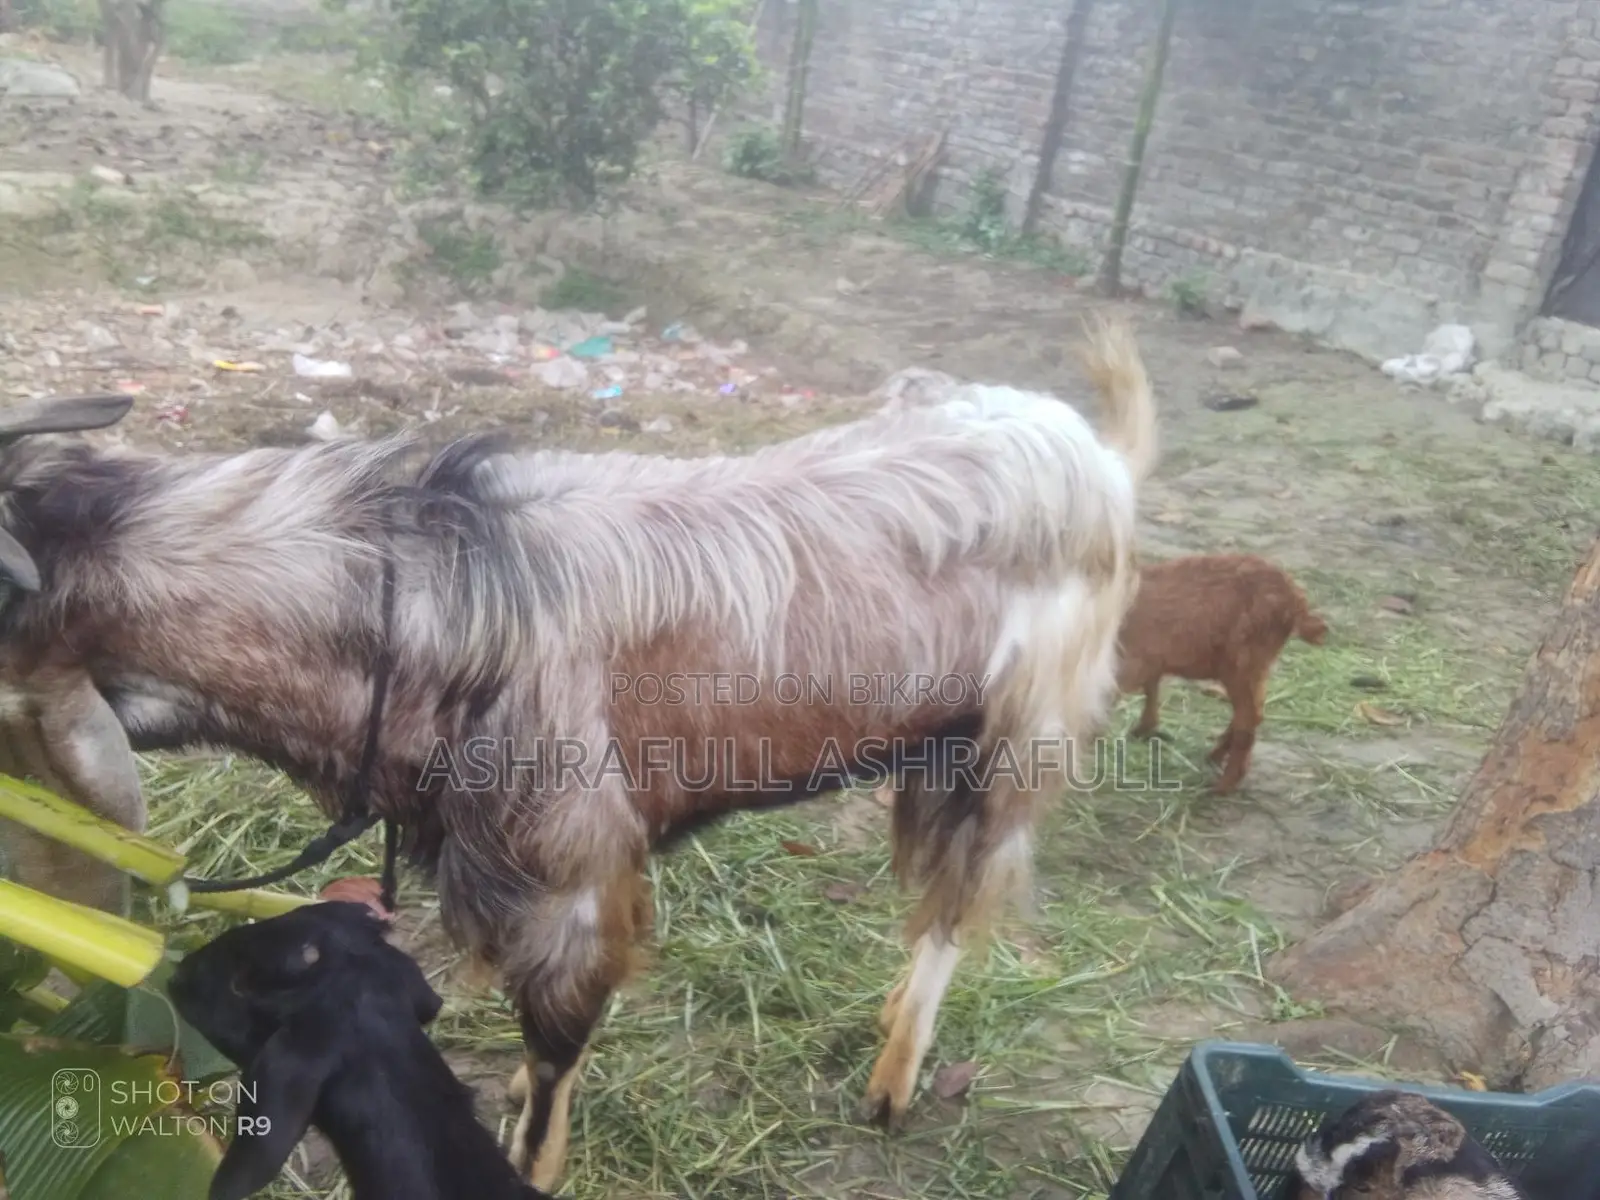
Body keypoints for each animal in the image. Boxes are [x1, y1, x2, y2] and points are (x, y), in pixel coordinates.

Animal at [1114, 552, 1326, 793]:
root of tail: (1296, 602)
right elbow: (1151, 688)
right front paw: (1142, 730)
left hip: (1242, 661)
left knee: (1248, 718)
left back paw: (1222, 786)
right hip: (1256, 664)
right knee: (1255, 712)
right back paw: (1215, 757)